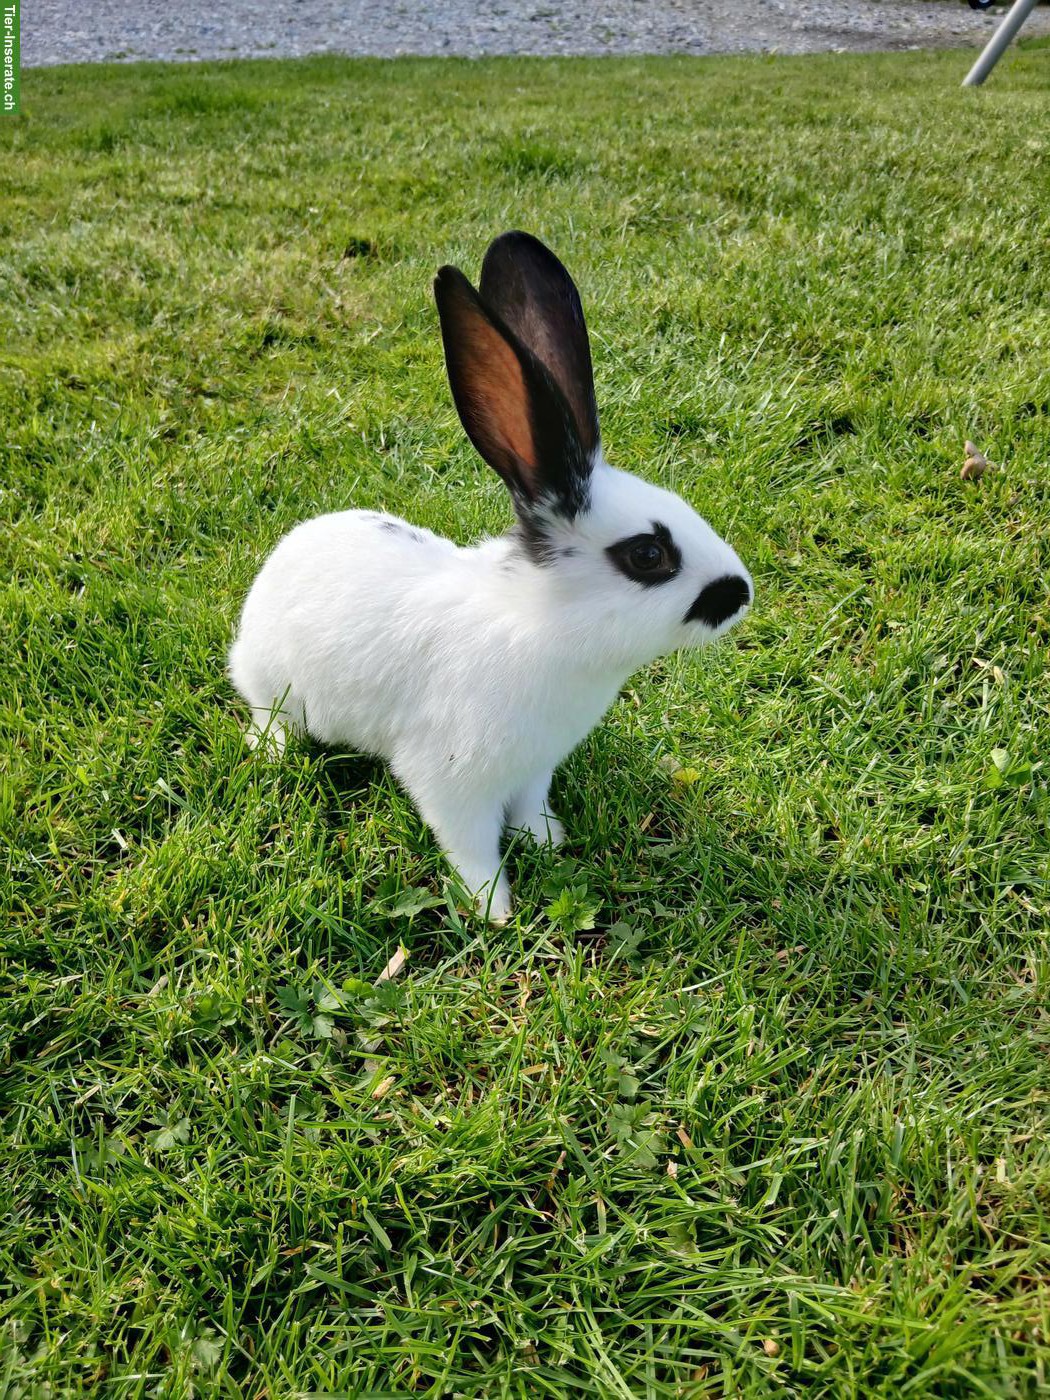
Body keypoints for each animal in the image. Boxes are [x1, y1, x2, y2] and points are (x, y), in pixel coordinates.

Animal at [229, 231, 752, 922]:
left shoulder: (534, 770)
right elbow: (471, 844)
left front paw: (549, 843)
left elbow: (530, 811)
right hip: (272, 684)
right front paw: (494, 909)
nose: (741, 595)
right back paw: (274, 752)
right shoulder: (451, 781)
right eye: (647, 556)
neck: (544, 625)